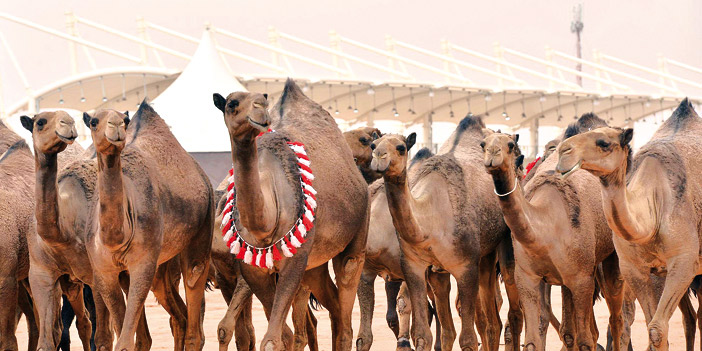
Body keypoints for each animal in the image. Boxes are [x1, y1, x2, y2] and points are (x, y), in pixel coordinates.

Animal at [81, 104, 213, 351]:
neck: (117, 237)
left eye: (124, 120)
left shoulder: (143, 262)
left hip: (203, 221)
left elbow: (125, 341)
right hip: (162, 261)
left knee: (194, 275)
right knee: (176, 312)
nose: (116, 126)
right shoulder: (104, 271)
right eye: (94, 121)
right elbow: (126, 334)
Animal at [213, 78, 372, 350]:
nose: (259, 110)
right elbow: (282, 335)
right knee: (334, 308)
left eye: (263, 99)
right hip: (314, 265)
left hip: (355, 237)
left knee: (346, 305)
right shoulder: (252, 270)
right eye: (232, 103)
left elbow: (272, 339)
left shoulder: (294, 261)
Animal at [372, 115, 520, 351]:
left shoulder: (465, 266)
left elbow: (468, 339)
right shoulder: (417, 267)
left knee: (503, 307)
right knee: (489, 321)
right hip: (482, 256)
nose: (379, 157)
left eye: (401, 147)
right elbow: (427, 335)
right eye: (373, 145)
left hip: (504, 242)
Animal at [560, 99, 702, 351]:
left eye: (604, 143)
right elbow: (654, 329)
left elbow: (657, 328)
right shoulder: (634, 268)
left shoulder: (685, 261)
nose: (563, 150)